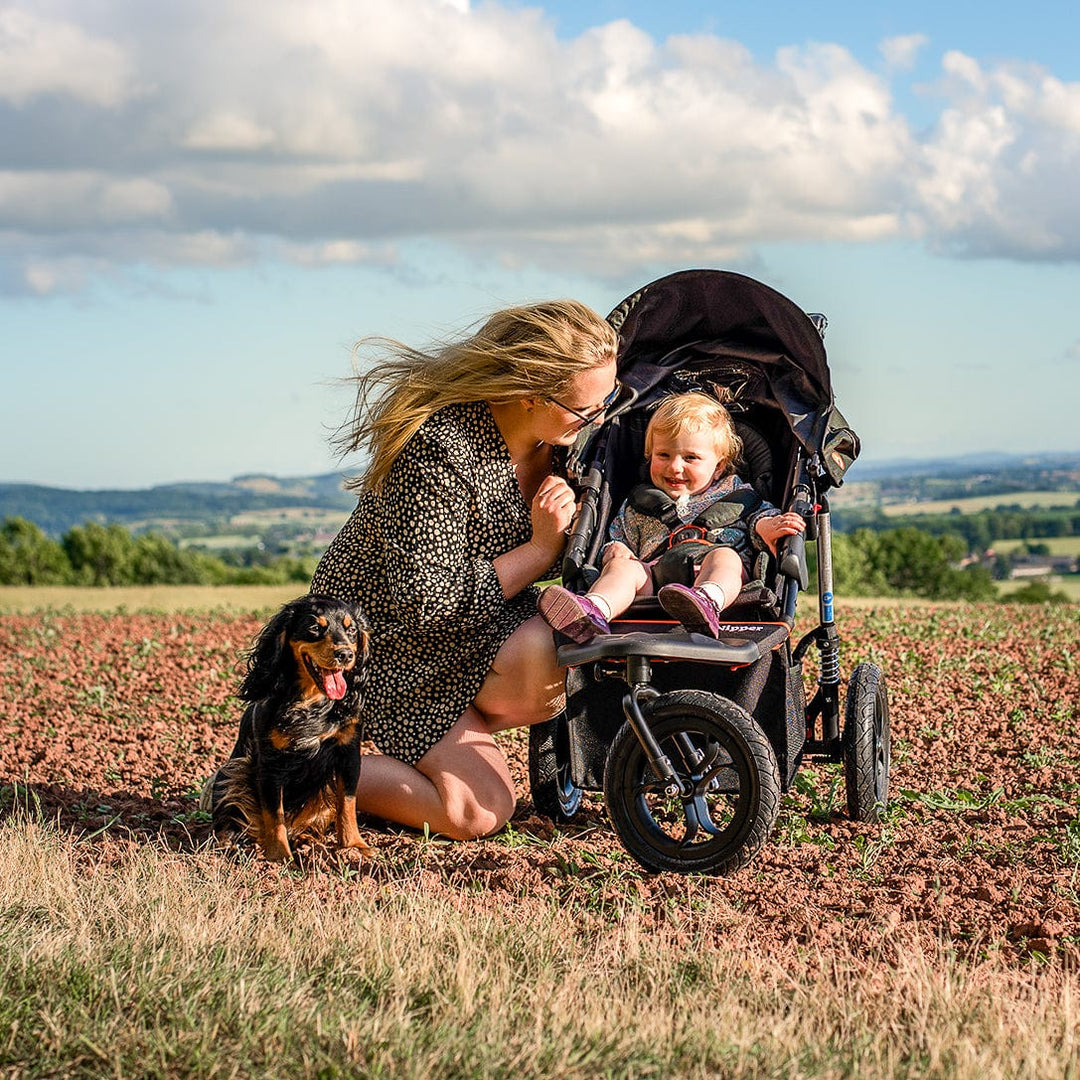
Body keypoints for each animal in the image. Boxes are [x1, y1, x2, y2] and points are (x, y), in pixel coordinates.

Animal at [210, 591, 375, 859]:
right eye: (314, 628)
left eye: (351, 630)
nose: (346, 654)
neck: (311, 701)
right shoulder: (270, 762)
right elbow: (273, 813)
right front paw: (279, 856)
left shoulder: (348, 753)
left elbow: (347, 804)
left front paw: (354, 845)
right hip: (232, 771)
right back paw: (230, 841)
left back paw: (307, 839)